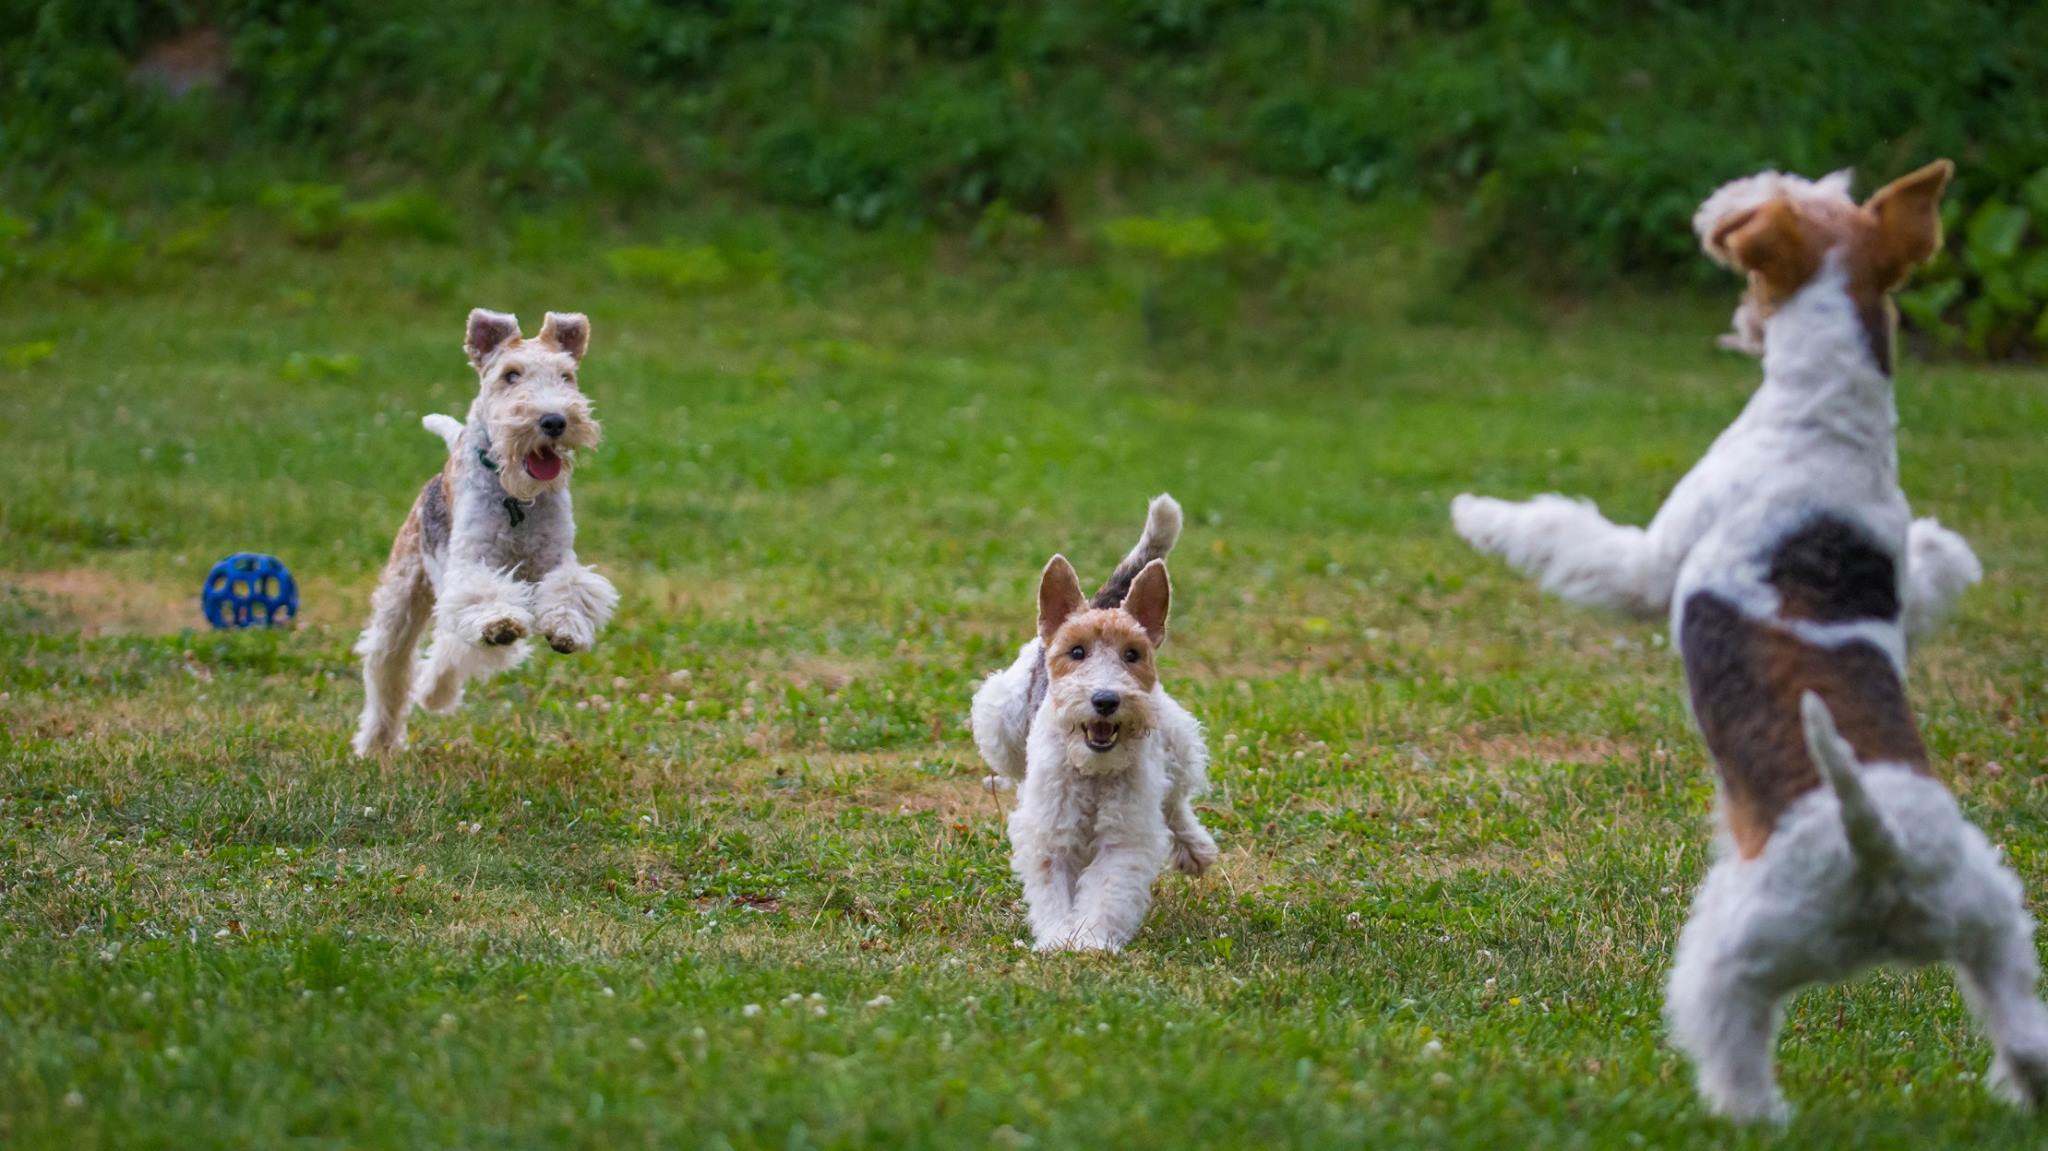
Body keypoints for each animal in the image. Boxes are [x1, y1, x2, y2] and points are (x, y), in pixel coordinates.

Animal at [352, 307, 614, 753]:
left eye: (566, 376)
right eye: (510, 375)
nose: (554, 420)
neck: (517, 500)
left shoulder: (556, 559)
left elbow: (570, 590)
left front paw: (564, 628)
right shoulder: (472, 563)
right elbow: (486, 598)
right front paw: (500, 621)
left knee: (450, 648)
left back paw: (434, 694)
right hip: (403, 596)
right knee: (390, 667)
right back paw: (377, 745)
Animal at [970, 493, 1212, 950]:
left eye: (1132, 654)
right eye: (1077, 652)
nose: (1105, 699)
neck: (1093, 771)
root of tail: (1100, 603)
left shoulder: (1122, 837)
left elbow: (1106, 890)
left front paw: (1091, 942)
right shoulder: (1050, 834)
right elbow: (1053, 892)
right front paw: (1056, 941)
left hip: (1175, 741)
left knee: (1175, 802)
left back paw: (1196, 850)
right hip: (1000, 719)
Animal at [1458, 163, 2048, 1122]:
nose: (1721, 202)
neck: (1824, 423)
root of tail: (1877, 853)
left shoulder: (1648, 563)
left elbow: (1562, 533)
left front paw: (1475, 512)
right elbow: (1934, 564)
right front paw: (1948, 554)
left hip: (1737, 949)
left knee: (1732, 1037)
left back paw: (1740, 1113)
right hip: (1994, 920)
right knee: (2026, 1034)